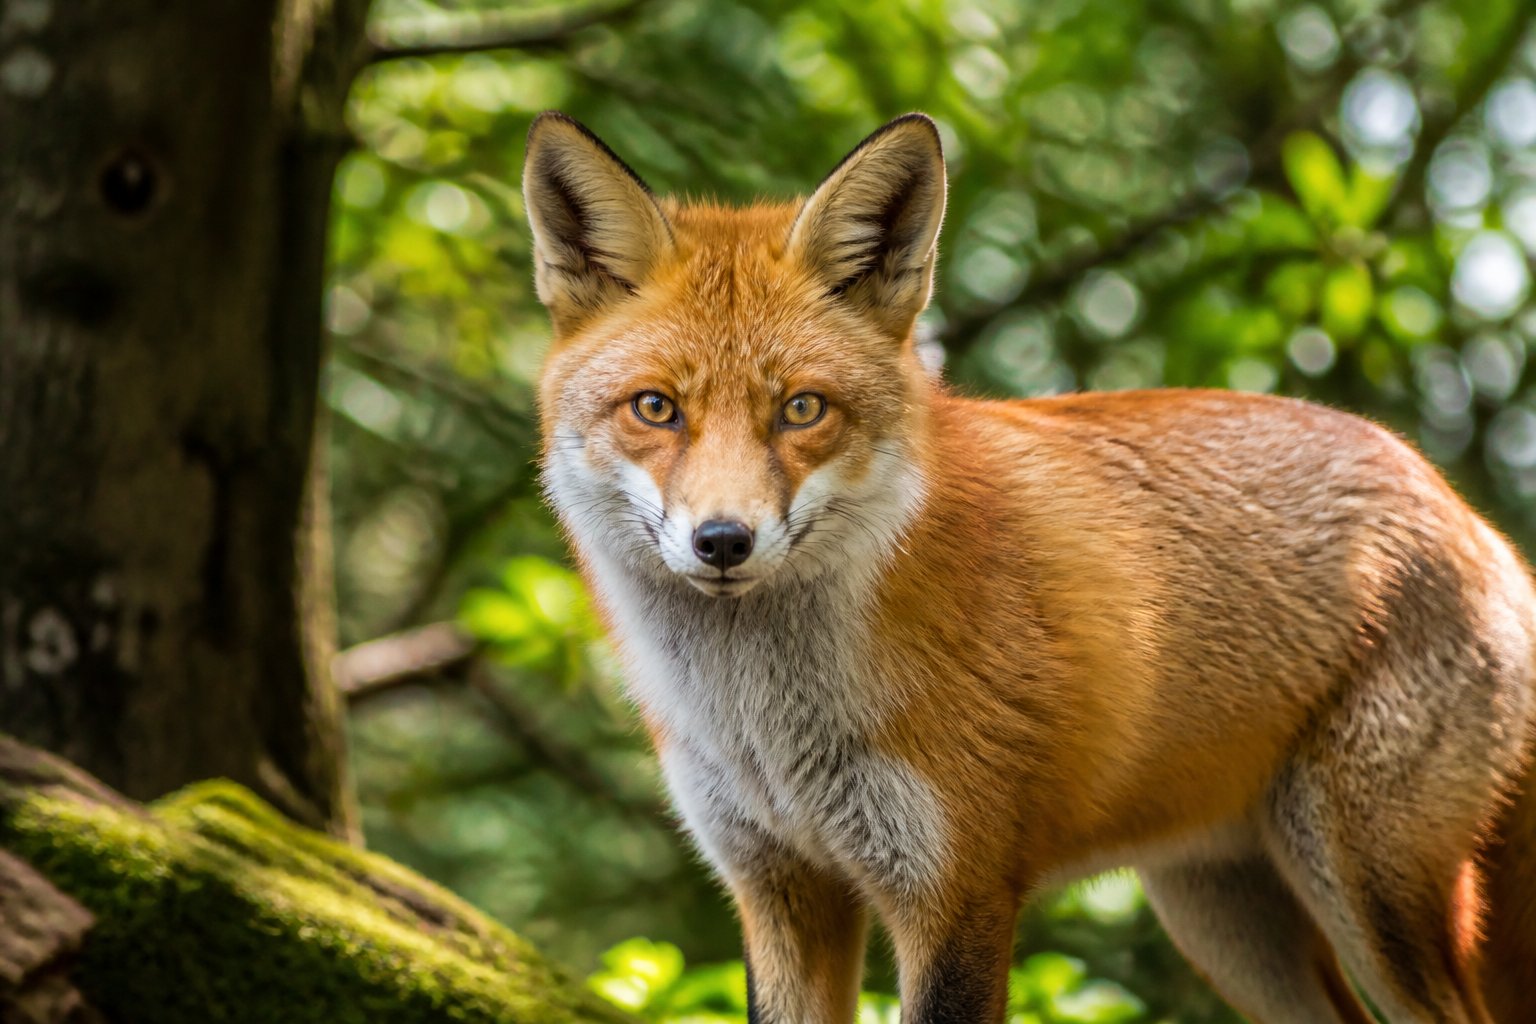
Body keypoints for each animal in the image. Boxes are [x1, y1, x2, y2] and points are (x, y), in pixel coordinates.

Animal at [523, 110, 1536, 1023]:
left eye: (802, 409)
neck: (769, 728)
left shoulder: (958, 889)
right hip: (1225, 917)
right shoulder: (779, 888)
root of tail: (1467, 512)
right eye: (656, 408)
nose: (724, 541)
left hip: (1371, 897)